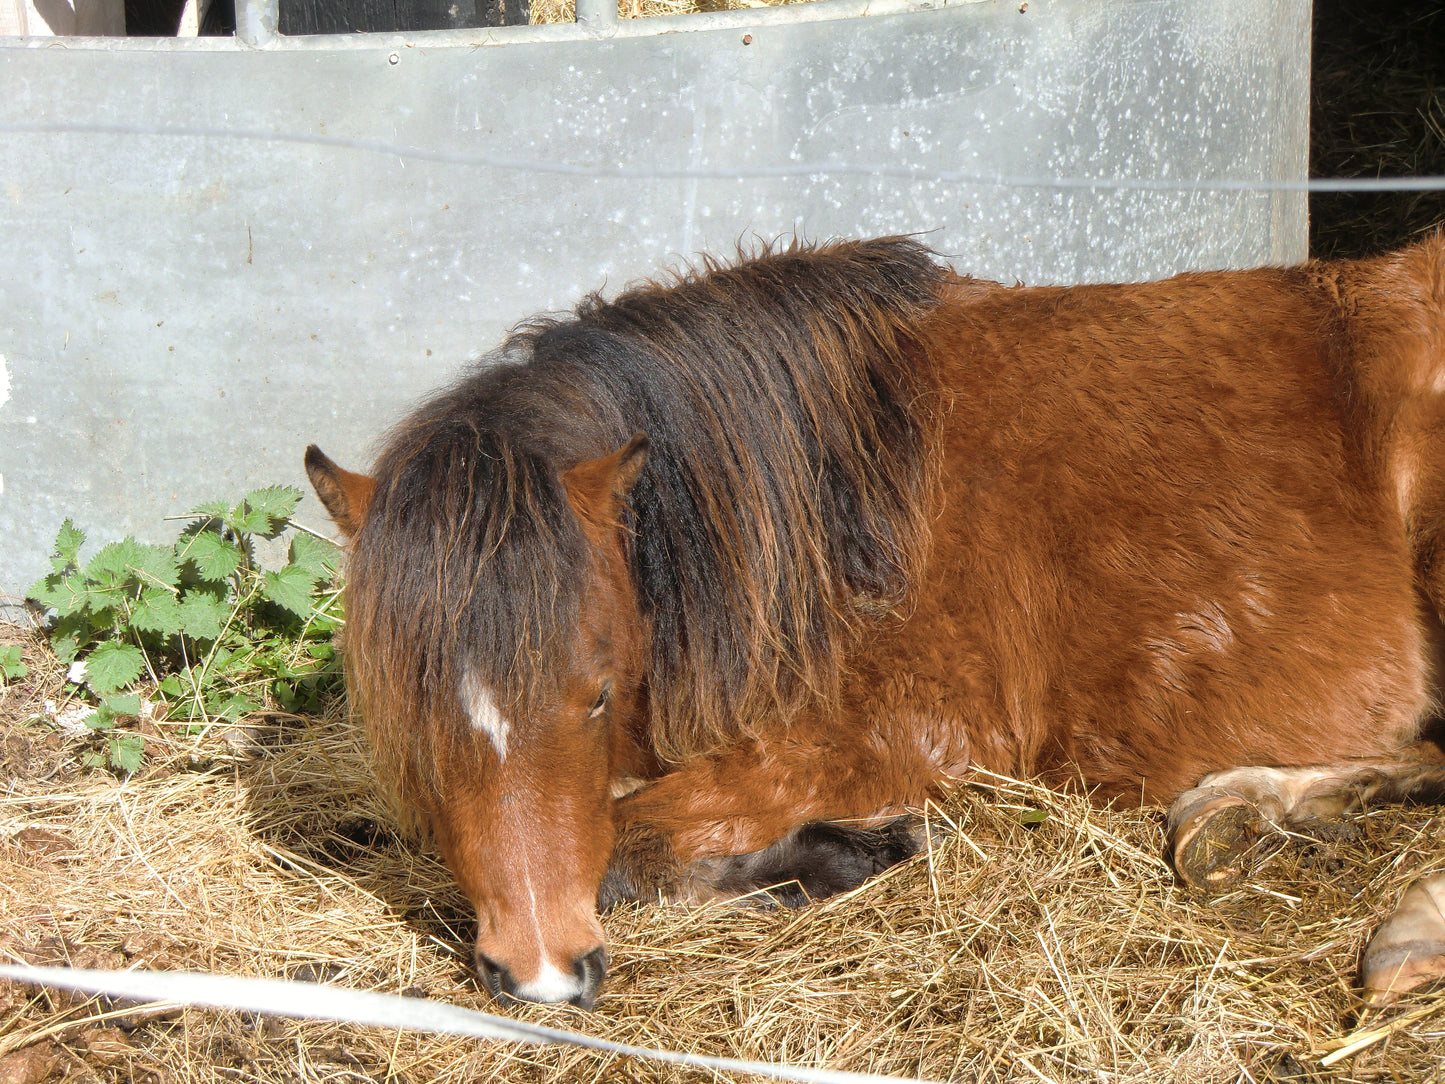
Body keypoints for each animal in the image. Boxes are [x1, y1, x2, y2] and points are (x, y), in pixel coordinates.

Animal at [310, 235, 1445, 1011]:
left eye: (591, 693)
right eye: (410, 721)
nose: (540, 976)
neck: (830, 496)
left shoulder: (900, 732)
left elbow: (632, 848)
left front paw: (847, 854)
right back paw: (1245, 811)